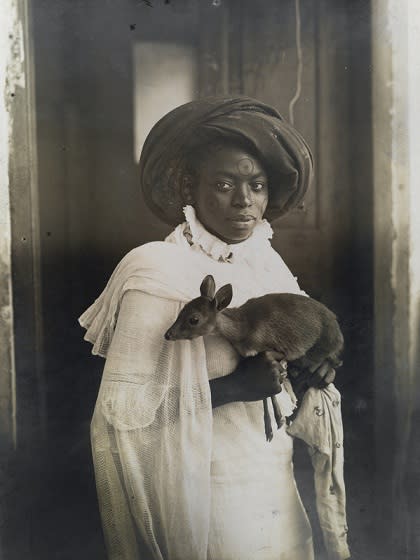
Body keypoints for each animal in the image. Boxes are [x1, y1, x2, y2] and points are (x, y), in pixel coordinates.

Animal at [163, 276, 342, 442]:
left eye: (194, 319)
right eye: (182, 309)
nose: (167, 334)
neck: (243, 330)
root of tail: (340, 335)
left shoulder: (276, 351)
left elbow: (271, 391)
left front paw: (277, 421)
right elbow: (265, 394)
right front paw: (273, 425)